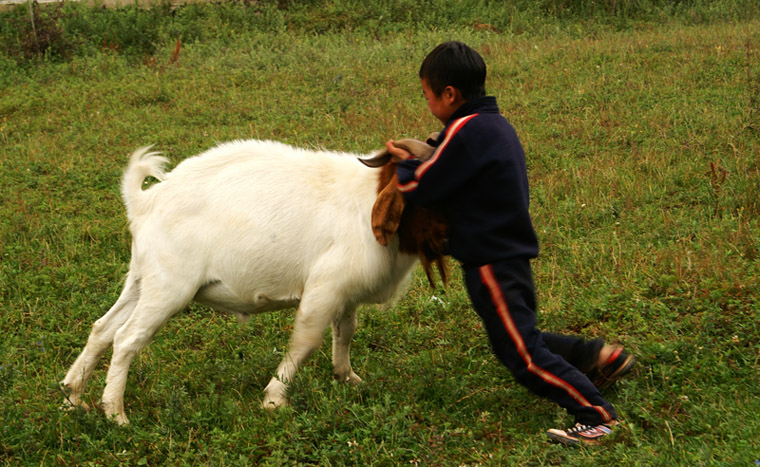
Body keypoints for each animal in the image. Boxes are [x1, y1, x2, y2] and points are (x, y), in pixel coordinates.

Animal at [65, 138, 446, 424]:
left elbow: (345, 332)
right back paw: (115, 413)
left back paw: (73, 397)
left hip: (142, 279)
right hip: (169, 287)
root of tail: (146, 201)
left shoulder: (345, 292)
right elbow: (305, 341)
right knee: (126, 339)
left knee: (103, 329)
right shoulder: (325, 287)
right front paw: (275, 400)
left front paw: (347, 379)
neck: (368, 199)